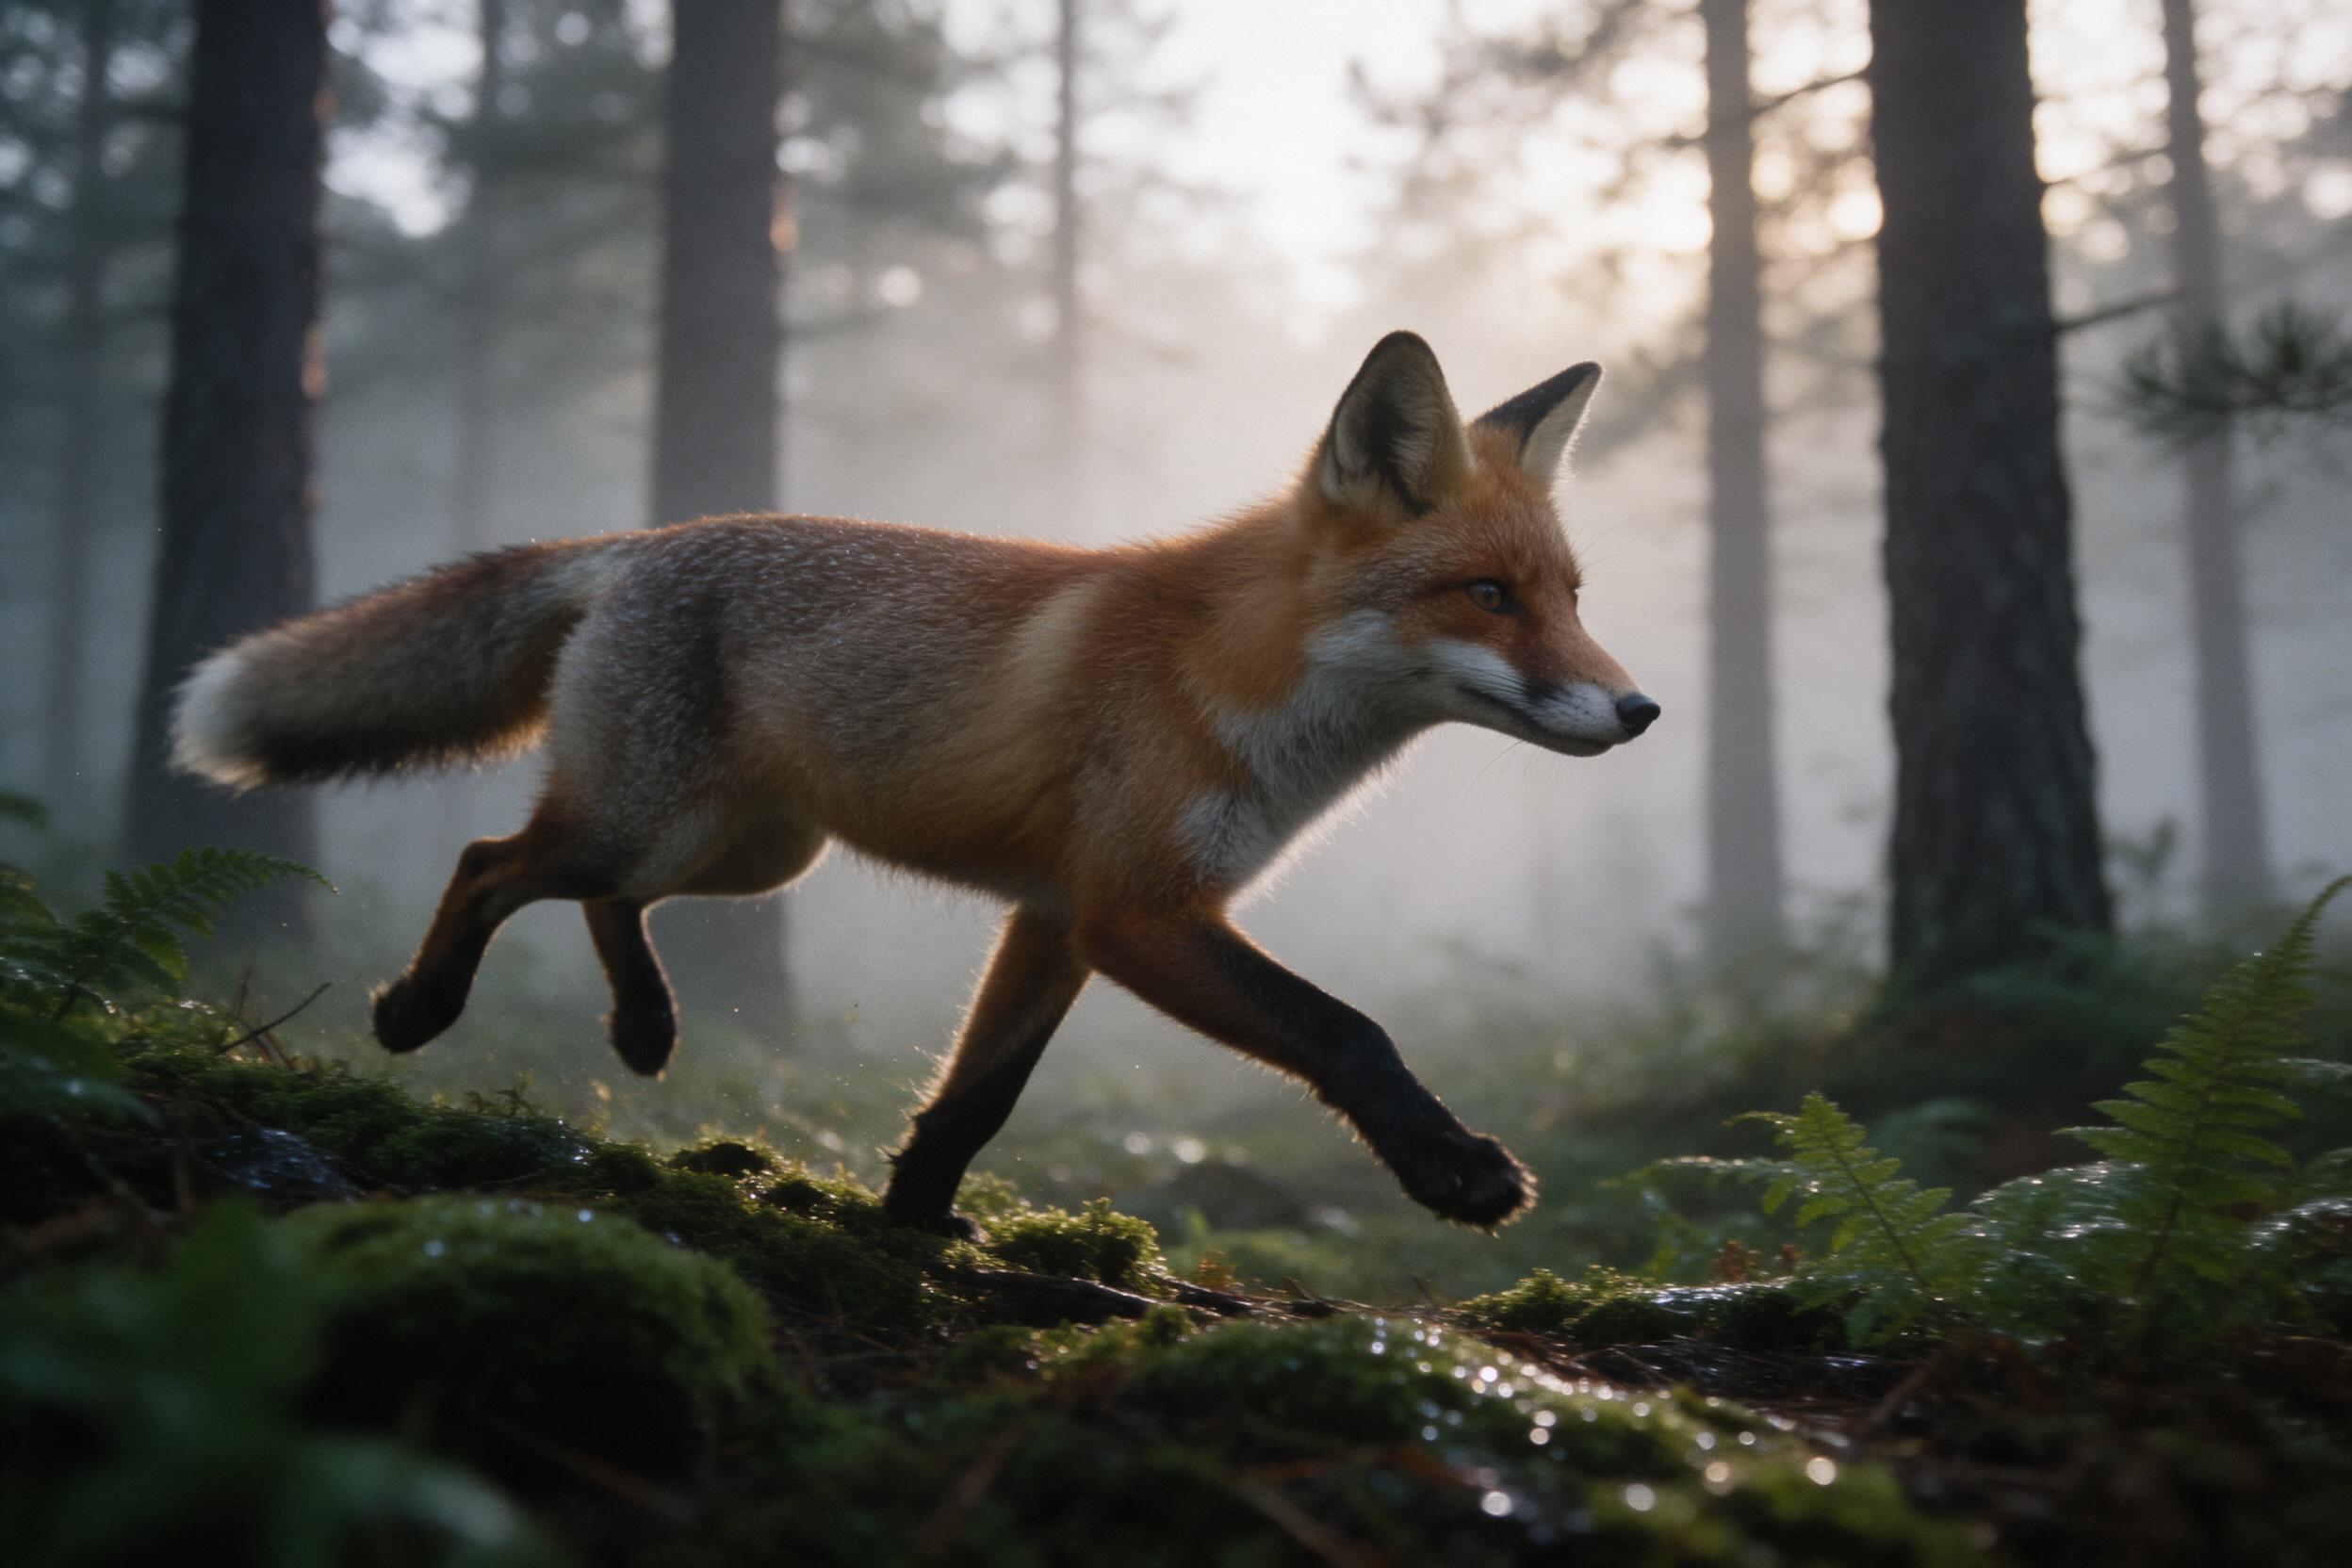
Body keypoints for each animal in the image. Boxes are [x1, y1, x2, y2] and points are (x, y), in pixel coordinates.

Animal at [172, 331, 1658, 1236]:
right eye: (1487, 596)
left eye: (1573, 598)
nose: (1641, 710)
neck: (1237, 687)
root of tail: (647, 539)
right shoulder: (1135, 909)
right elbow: (1349, 1031)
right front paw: (1455, 1167)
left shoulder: (1057, 919)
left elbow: (978, 1095)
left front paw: (916, 1220)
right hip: (653, 825)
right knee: (493, 862)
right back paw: (420, 1009)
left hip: (749, 854)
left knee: (591, 897)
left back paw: (644, 1026)